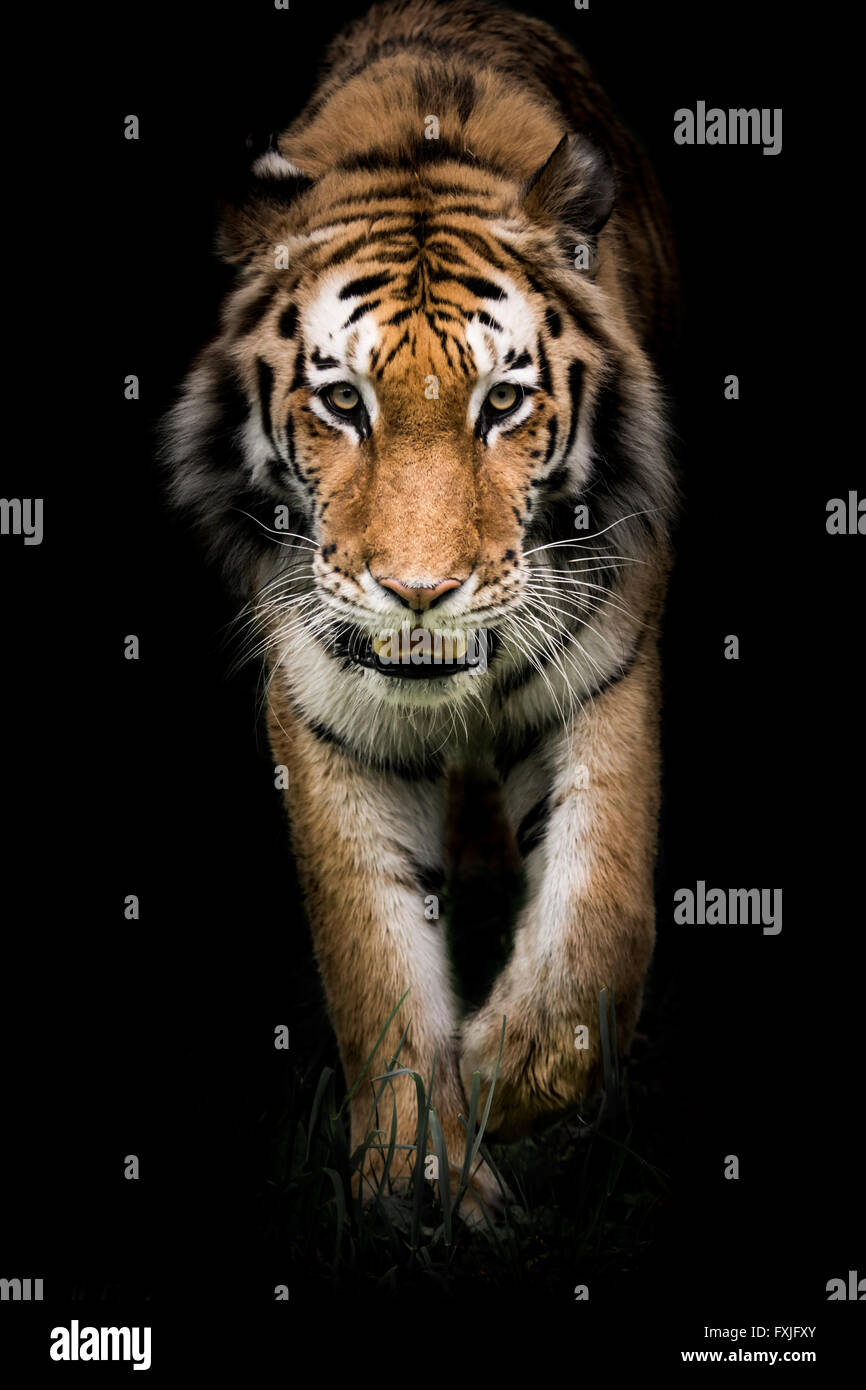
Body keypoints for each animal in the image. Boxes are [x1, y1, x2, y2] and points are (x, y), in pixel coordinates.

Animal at [163, 0, 677, 1222]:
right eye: (342, 400)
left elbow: (604, 906)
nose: (419, 590)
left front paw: (510, 1073)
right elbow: (369, 953)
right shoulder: (321, 706)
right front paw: (418, 1179)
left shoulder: (607, 665)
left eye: (503, 402)